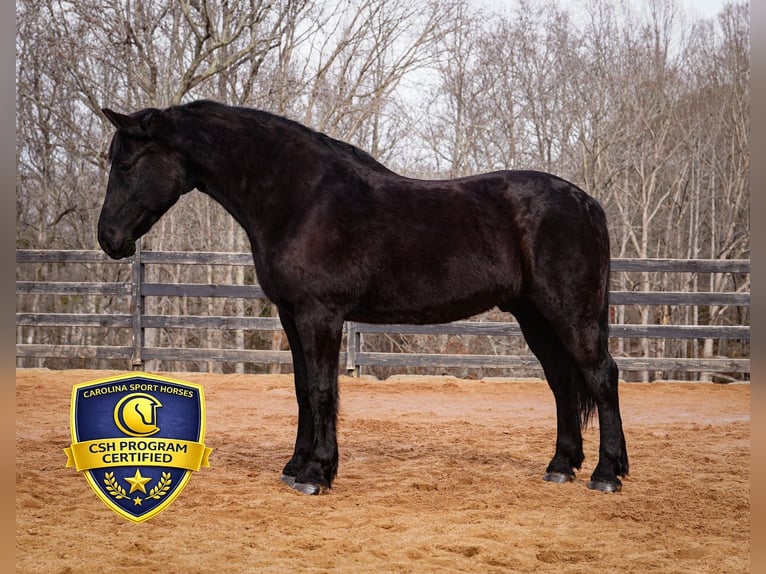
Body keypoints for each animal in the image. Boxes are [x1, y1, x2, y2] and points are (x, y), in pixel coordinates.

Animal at [98, 100, 628, 495]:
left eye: (126, 163)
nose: (108, 239)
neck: (300, 199)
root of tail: (587, 203)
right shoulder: (291, 316)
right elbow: (302, 390)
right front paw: (295, 466)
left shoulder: (321, 315)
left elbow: (322, 389)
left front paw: (317, 474)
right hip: (534, 315)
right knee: (562, 381)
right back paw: (561, 465)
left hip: (570, 312)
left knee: (601, 375)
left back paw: (606, 474)